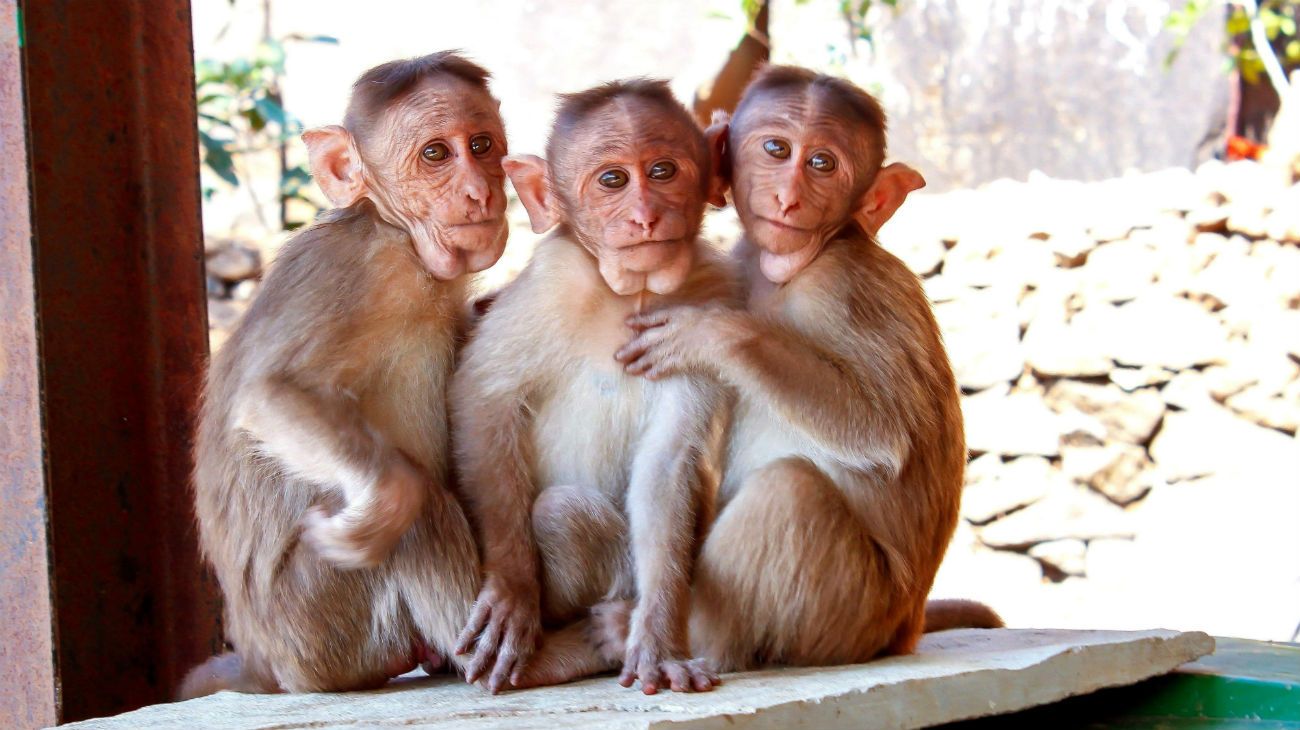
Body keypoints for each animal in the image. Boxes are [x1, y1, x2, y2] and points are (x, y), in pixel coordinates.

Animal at [180, 52, 511, 697]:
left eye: (482, 145)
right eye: (436, 154)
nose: (480, 190)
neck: (395, 231)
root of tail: (264, 663)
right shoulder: (359, 270)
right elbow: (269, 396)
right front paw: (386, 503)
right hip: (319, 630)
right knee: (421, 505)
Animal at [448, 79, 735, 695]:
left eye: (662, 171)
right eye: (612, 181)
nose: (646, 217)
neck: (635, 295)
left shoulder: (711, 303)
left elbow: (667, 462)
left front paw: (658, 640)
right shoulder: (553, 282)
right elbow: (484, 399)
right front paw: (512, 588)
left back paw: (618, 626)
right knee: (563, 512)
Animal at [613, 65, 1002, 673]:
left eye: (823, 163)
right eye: (777, 149)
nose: (789, 199)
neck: (794, 268)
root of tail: (907, 627)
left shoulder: (841, 287)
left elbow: (884, 432)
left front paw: (712, 333)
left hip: (852, 612)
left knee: (790, 491)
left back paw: (689, 639)